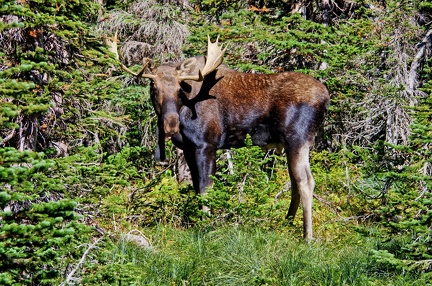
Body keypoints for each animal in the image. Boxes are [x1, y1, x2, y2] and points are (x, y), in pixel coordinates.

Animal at [106, 34, 330, 241]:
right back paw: (287, 223)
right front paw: (198, 220)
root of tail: (326, 98)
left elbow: (206, 187)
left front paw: (207, 224)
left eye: (179, 88)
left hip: (298, 140)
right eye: (153, 87)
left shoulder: (206, 144)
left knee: (305, 182)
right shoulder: (189, 148)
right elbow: (196, 187)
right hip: (292, 144)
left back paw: (307, 236)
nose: (171, 124)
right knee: (295, 182)